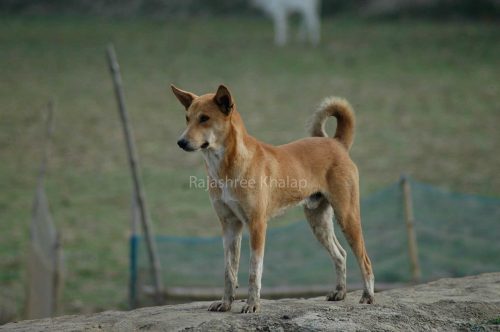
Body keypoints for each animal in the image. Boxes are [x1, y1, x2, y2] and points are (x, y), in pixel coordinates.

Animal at [172, 84, 376, 312]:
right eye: (187, 118)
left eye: (204, 118)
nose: (181, 142)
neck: (227, 167)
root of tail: (337, 143)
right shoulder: (229, 226)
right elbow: (229, 271)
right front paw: (226, 303)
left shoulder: (257, 225)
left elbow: (254, 271)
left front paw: (252, 304)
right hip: (319, 222)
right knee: (341, 255)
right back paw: (339, 292)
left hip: (347, 217)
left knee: (365, 259)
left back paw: (368, 296)